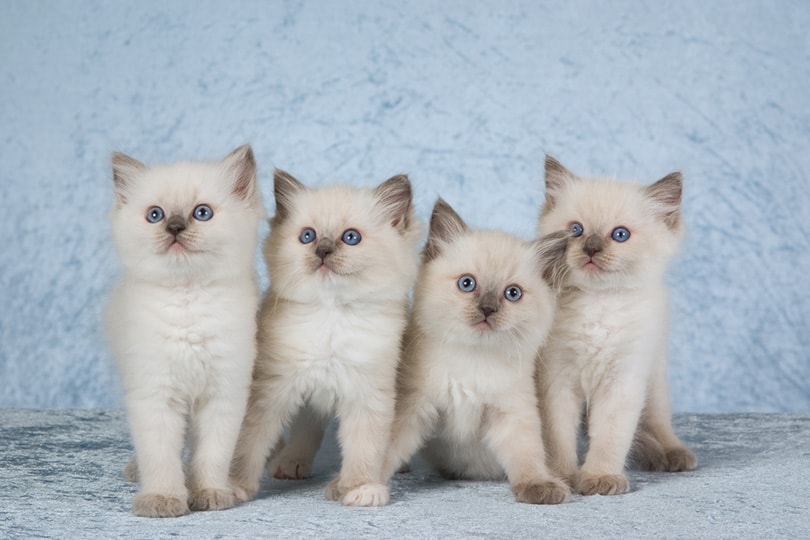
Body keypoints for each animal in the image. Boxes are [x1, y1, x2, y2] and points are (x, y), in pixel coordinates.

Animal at [105, 146, 264, 516]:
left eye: (202, 213)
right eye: (155, 215)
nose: (175, 227)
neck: (188, 296)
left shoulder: (222, 394)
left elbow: (212, 456)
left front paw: (209, 493)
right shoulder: (155, 394)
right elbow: (161, 456)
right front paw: (163, 499)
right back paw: (137, 472)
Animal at [227, 169, 416, 506]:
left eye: (351, 237)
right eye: (308, 236)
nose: (323, 251)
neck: (332, 315)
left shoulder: (368, 392)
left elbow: (366, 449)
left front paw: (361, 488)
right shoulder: (272, 388)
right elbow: (248, 442)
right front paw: (234, 486)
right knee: (307, 428)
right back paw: (291, 463)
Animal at [378, 199, 568, 506]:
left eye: (512, 293)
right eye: (467, 284)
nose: (488, 309)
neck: (474, 358)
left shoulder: (513, 413)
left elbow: (527, 454)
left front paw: (538, 486)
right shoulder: (413, 406)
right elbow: (386, 449)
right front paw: (362, 484)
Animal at [536, 154, 696, 496]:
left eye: (620, 235)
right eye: (576, 230)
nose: (592, 248)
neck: (599, 304)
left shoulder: (622, 380)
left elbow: (611, 436)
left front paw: (599, 478)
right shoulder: (556, 380)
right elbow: (558, 439)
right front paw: (562, 477)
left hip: (653, 378)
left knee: (656, 421)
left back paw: (671, 454)